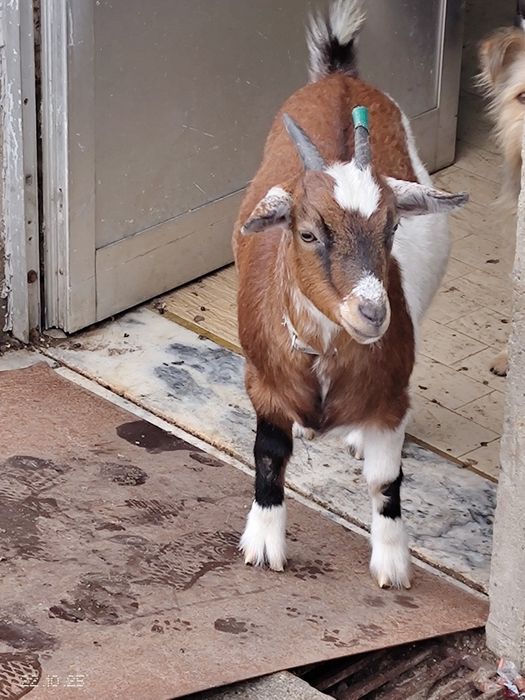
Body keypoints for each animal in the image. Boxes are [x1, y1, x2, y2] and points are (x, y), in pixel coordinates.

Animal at [233, 0, 468, 589]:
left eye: (392, 228)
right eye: (307, 233)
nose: (372, 311)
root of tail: (340, 77)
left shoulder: (390, 400)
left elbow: (386, 481)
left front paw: (393, 563)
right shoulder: (264, 381)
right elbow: (269, 454)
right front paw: (264, 543)